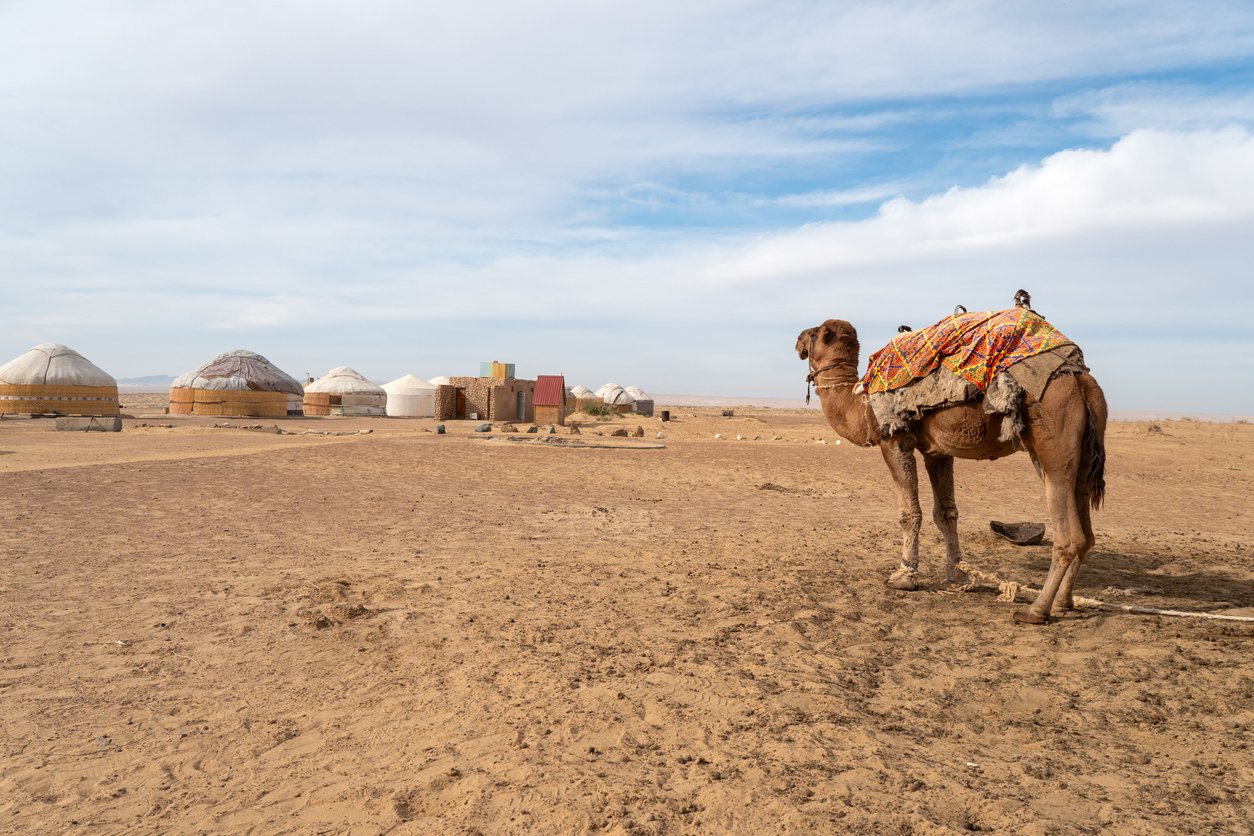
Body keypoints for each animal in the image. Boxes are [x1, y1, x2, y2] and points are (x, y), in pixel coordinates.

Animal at [792, 317, 1108, 624]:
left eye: (815, 333)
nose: (797, 340)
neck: (861, 404)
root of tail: (1081, 380)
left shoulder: (895, 440)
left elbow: (910, 512)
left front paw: (904, 576)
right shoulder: (937, 451)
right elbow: (946, 513)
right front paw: (956, 574)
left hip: (1052, 441)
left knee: (1068, 536)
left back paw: (1036, 610)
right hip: (1082, 452)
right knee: (1086, 532)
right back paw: (1065, 602)